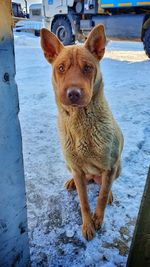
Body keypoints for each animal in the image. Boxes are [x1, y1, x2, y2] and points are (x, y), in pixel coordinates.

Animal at [40, 25, 123, 242]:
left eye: (87, 67)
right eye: (61, 68)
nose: (73, 94)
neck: (81, 125)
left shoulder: (110, 166)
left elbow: (101, 197)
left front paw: (98, 219)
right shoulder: (77, 169)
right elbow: (84, 201)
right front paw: (87, 224)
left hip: (118, 167)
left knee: (106, 186)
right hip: (70, 165)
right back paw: (72, 182)